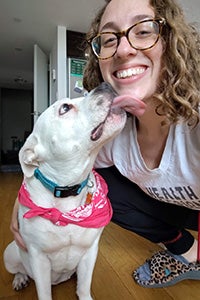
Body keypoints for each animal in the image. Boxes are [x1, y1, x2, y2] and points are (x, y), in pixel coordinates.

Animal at [3, 82, 126, 300]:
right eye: (65, 108)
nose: (105, 84)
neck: (66, 191)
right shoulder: (38, 259)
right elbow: (44, 293)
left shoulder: (89, 252)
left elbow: (84, 286)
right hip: (10, 253)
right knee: (19, 268)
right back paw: (20, 278)